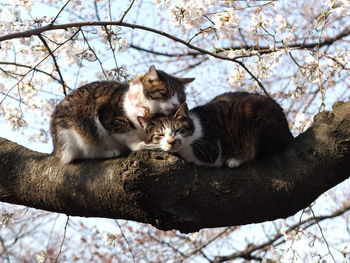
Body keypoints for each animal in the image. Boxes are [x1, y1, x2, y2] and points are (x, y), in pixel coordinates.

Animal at [50, 65, 194, 164]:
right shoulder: (108, 117)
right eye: (166, 93)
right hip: (75, 132)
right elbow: (127, 134)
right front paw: (140, 145)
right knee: (86, 152)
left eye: (181, 97)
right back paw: (108, 152)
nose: (176, 104)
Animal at [137, 92, 292, 168]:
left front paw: (144, 145)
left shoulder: (211, 150)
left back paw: (235, 159)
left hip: (254, 113)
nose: (171, 141)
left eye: (178, 130)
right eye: (160, 134)